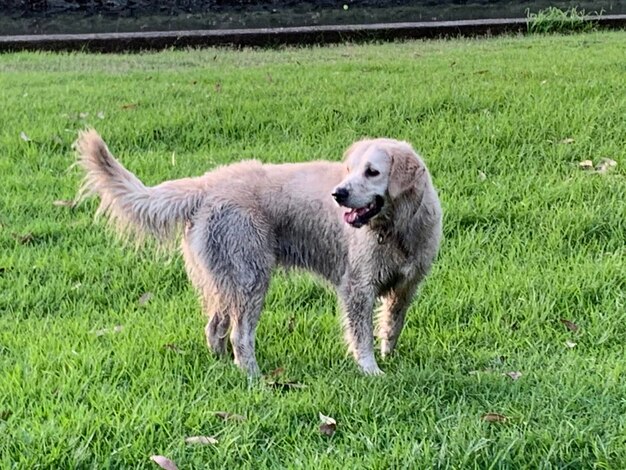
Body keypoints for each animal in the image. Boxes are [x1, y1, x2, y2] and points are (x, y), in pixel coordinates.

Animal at [75, 130, 442, 376]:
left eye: (372, 171)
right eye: (349, 170)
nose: (337, 194)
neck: (396, 229)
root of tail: (204, 185)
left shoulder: (406, 288)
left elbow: (392, 325)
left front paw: (389, 355)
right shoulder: (357, 289)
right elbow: (361, 335)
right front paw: (371, 370)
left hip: (227, 280)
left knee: (214, 328)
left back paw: (223, 365)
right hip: (251, 278)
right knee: (240, 336)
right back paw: (254, 377)